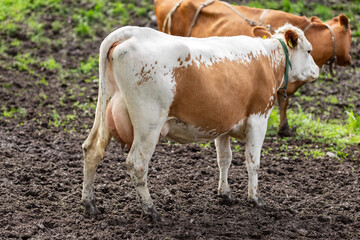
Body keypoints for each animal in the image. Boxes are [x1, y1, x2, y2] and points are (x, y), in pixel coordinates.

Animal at [81, 24, 318, 221]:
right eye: (309, 51)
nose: (317, 70)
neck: (268, 59)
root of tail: (132, 32)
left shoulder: (224, 124)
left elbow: (224, 159)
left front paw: (225, 193)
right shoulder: (258, 119)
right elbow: (253, 162)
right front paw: (255, 199)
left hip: (105, 110)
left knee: (92, 150)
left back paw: (90, 204)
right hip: (149, 125)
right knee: (137, 163)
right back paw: (150, 210)